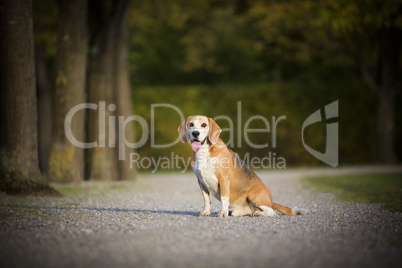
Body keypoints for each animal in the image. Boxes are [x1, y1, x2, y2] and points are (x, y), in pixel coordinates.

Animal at [177, 115, 306, 218]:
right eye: (191, 125)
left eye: (204, 125)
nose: (195, 133)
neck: (203, 151)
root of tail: (270, 200)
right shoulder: (200, 181)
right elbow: (206, 199)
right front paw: (207, 211)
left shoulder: (223, 179)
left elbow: (224, 198)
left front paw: (223, 213)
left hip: (254, 196)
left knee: (271, 212)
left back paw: (258, 213)